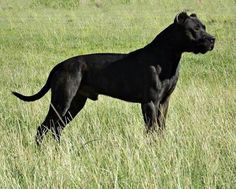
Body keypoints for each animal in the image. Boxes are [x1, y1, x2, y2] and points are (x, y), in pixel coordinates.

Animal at [13, 12, 216, 145]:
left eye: (204, 27)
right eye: (195, 29)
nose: (213, 39)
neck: (168, 56)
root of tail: (58, 66)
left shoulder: (164, 102)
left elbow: (160, 128)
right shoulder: (150, 103)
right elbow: (151, 130)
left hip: (75, 103)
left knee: (56, 128)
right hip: (62, 101)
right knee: (43, 128)